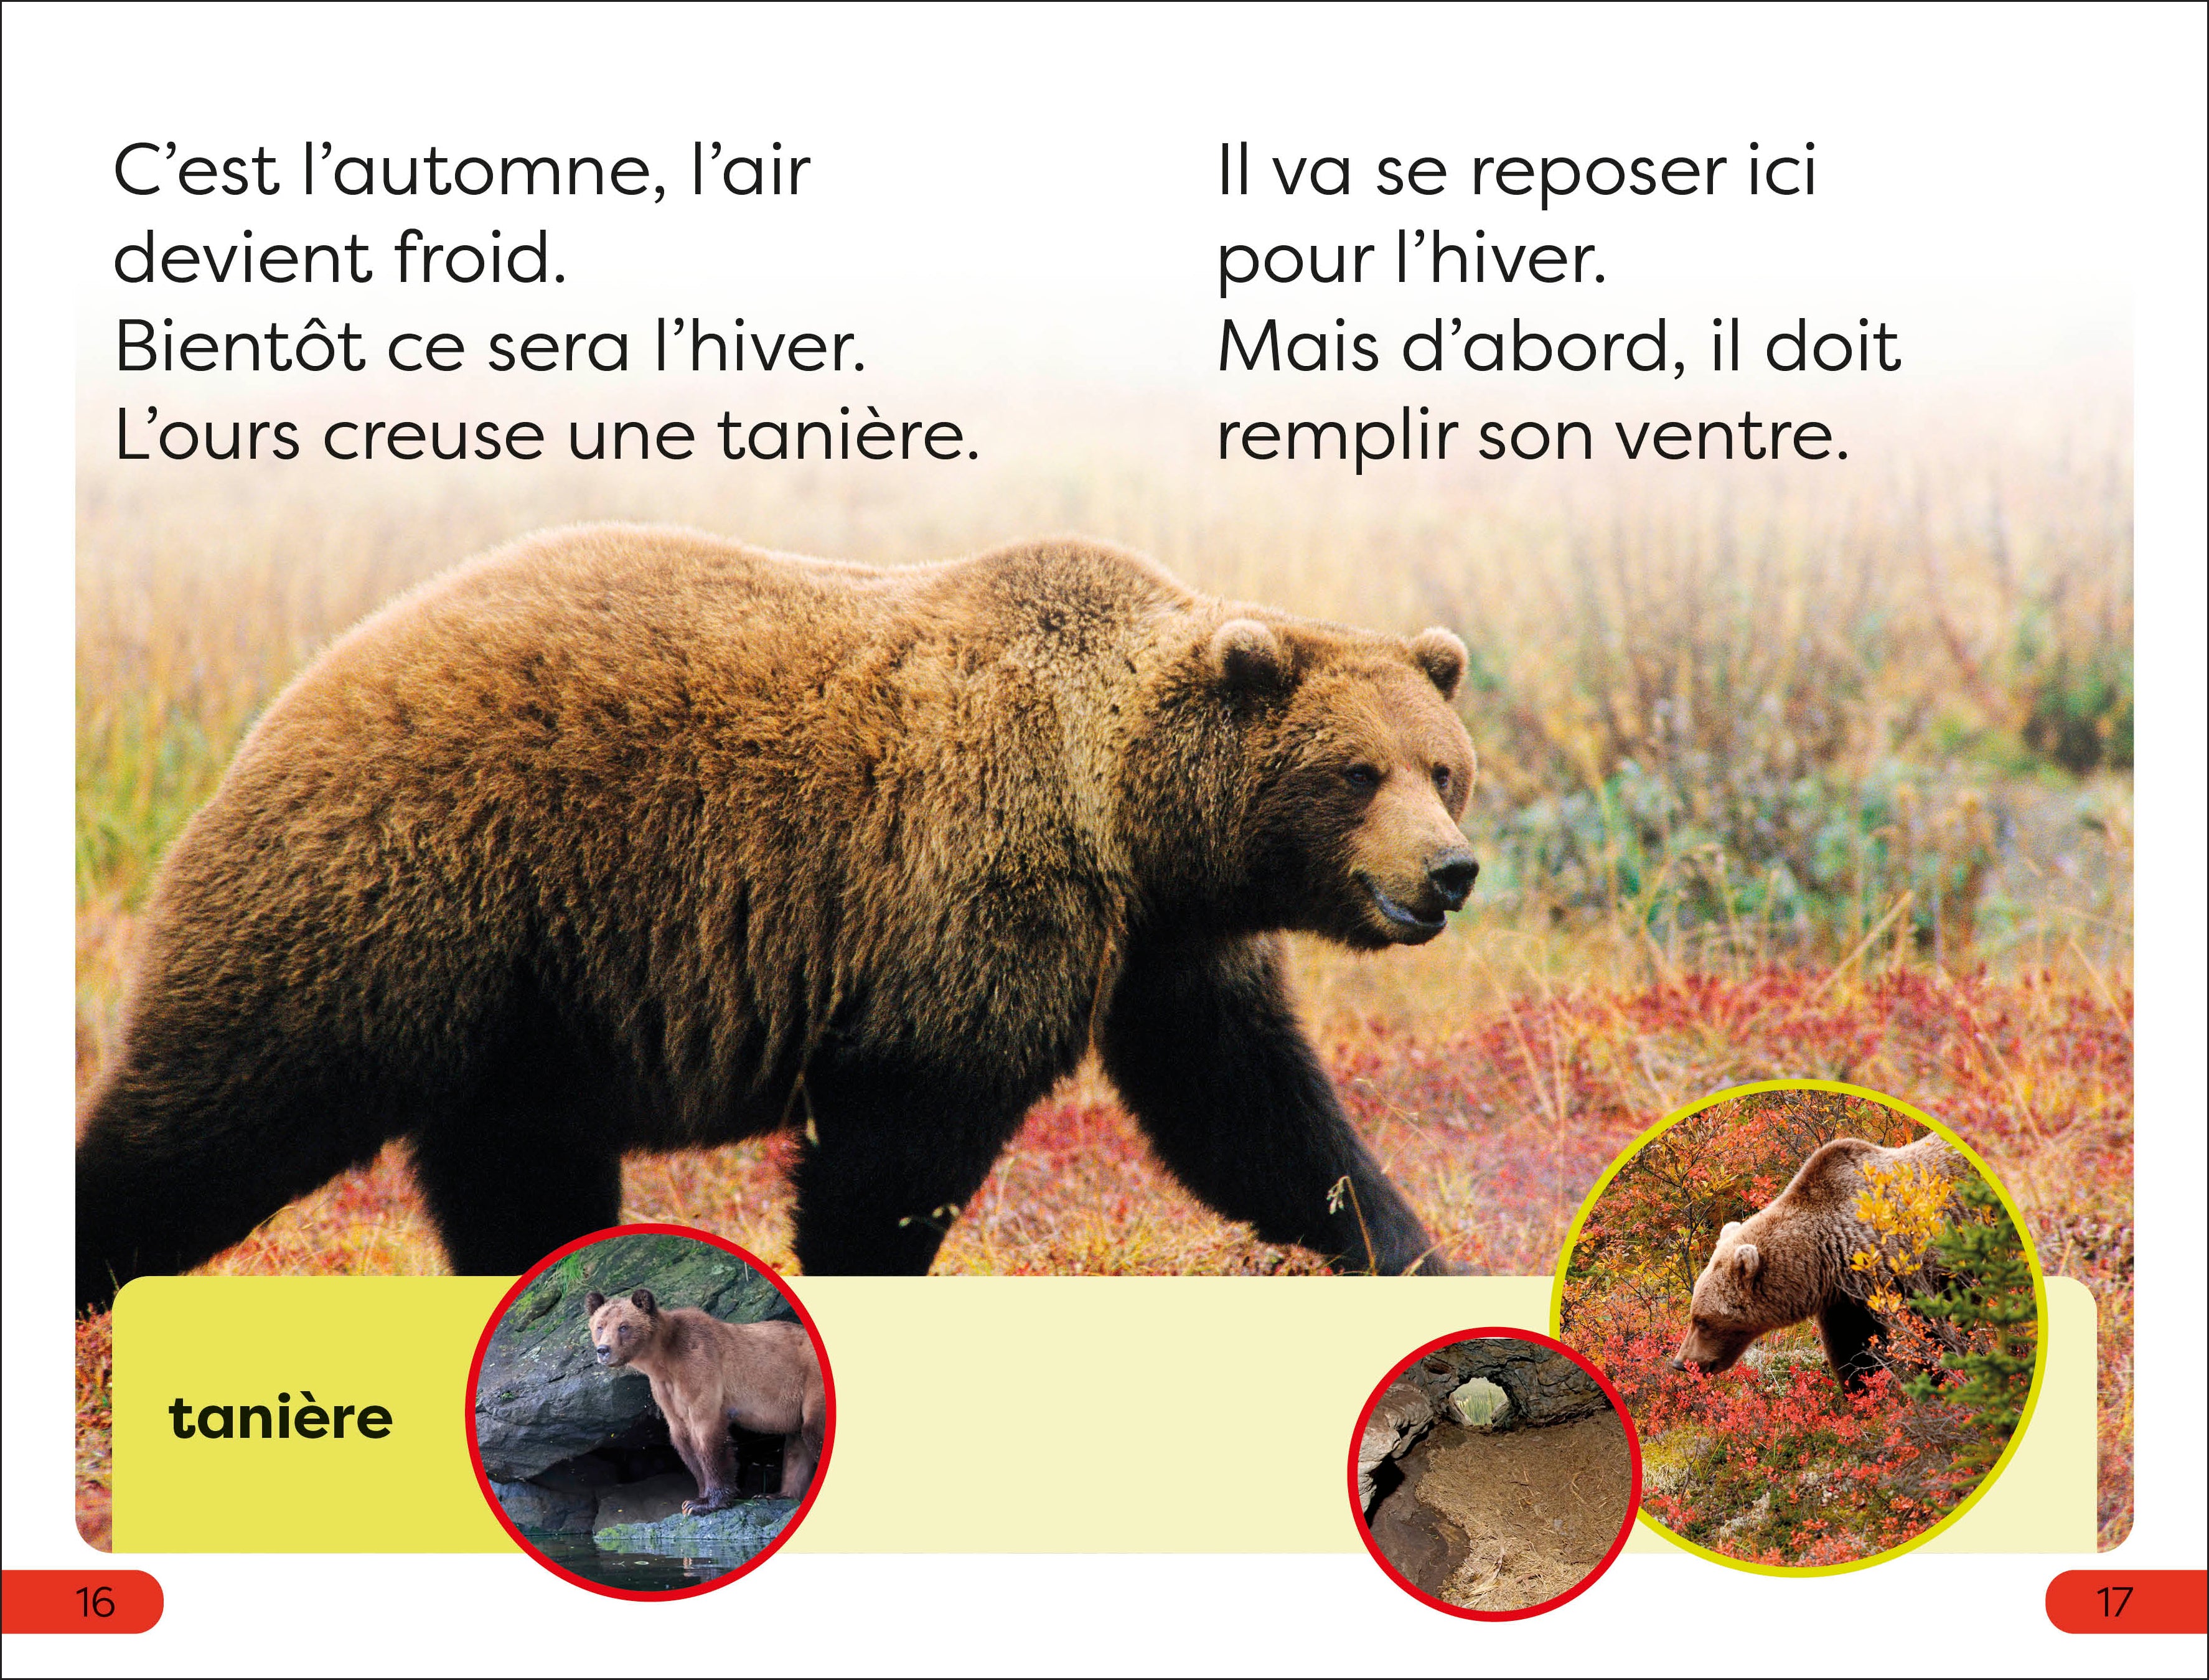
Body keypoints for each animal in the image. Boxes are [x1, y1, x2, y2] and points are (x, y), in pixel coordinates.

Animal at [75, 525, 1481, 1309]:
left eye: (1442, 765)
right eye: (1356, 772)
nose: (1450, 869)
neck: (1132, 816)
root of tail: (296, 695)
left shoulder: (1165, 942)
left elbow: (1250, 1112)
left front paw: (1414, 1249)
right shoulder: (971, 892)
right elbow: (900, 1143)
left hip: (524, 992)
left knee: (515, 1168)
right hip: (410, 887)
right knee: (225, 1106)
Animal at [584, 1286, 827, 1508]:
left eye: (624, 1327)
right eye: (600, 1327)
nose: (603, 1350)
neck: (663, 1362)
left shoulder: (700, 1369)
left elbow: (707, 1435)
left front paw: (706, 1503)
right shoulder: (666, 1392)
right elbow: (683, 1438)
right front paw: (696, 1497)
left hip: (813, 1380)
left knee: (813, 1430)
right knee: (797, 1444)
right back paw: (776, 1495)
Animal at [1669, 1134, 1970, 1391]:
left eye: (1702, 1321)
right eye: (1694, 1315)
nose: (1681, 1363)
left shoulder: (1921, 1270)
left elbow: (1938, 1332)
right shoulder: (1846, 1301)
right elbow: (1853, 1349)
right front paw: (1863, 1393)